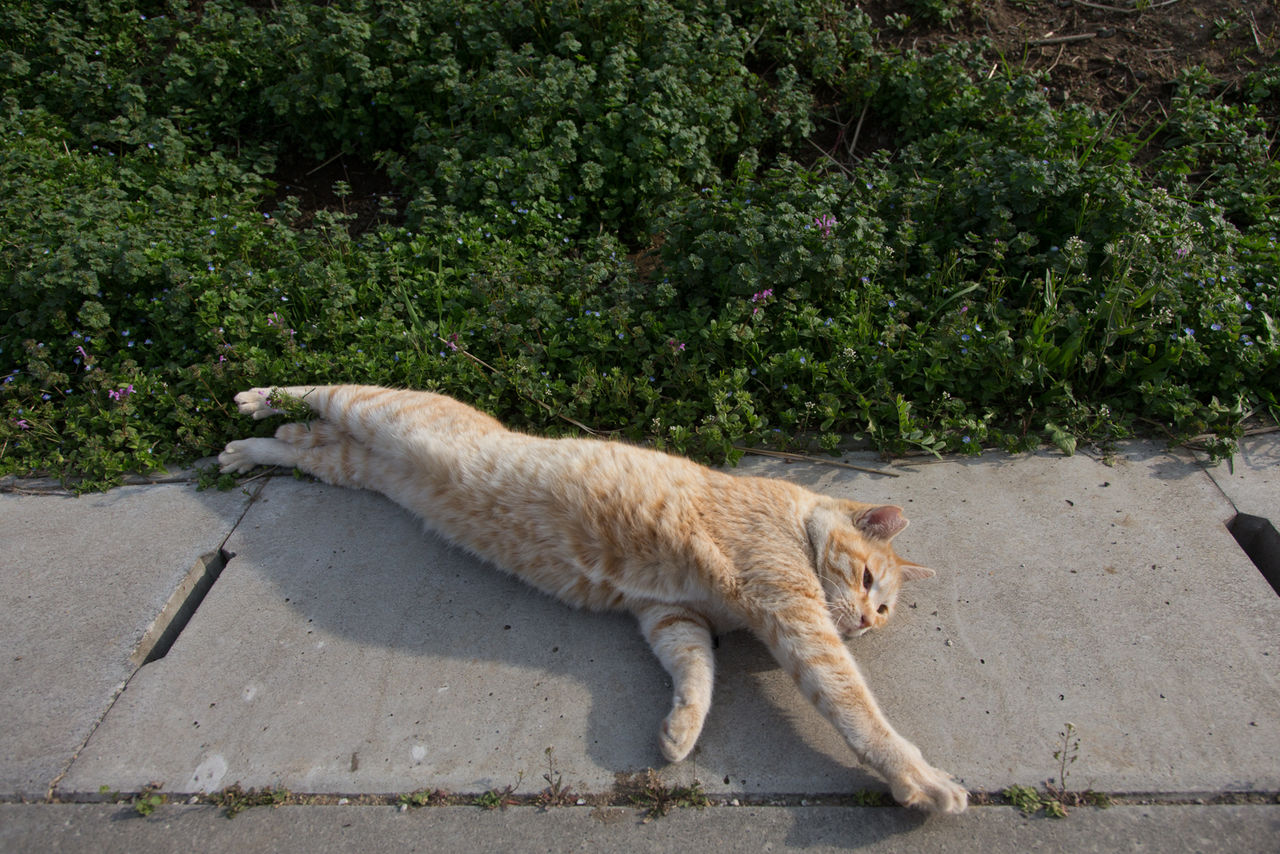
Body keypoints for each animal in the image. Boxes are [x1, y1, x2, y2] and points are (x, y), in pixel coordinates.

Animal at [220, 384, 962, 814]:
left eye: (884, 608)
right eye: (867, 581)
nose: (866, 622)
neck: (793, 519)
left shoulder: (670, 616)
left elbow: (697, 670)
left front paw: (682, 729)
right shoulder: (795, 616)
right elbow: (857, 711)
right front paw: (919, 778)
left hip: (353, 462)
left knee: (306, 445)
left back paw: (249, 448)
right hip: (369, 406)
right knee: (314, 386)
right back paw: (254, 401)